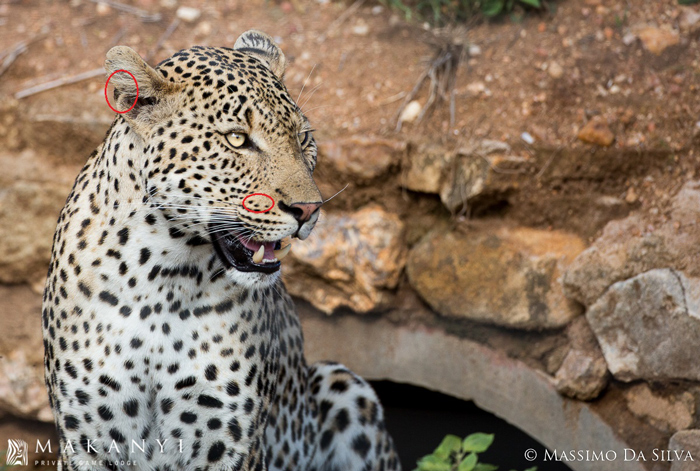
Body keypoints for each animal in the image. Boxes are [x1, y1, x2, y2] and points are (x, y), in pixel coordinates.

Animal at [43, 30, 402, 471]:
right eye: (237, 140)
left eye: (303, 138)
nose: (309, 210)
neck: (161, 280)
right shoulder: (87, 441)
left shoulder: (229, 442)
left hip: (346, 386)